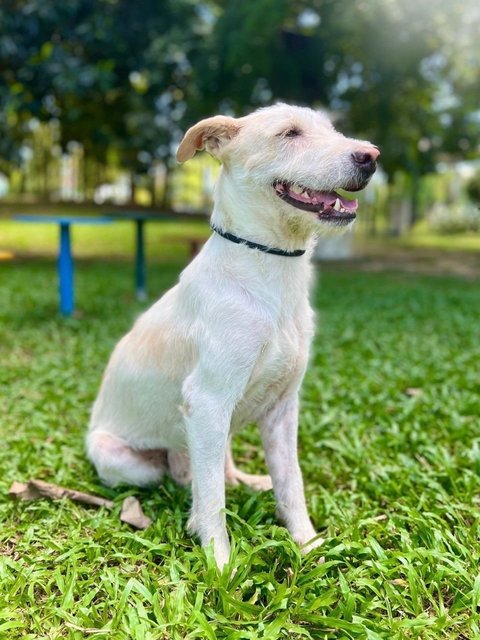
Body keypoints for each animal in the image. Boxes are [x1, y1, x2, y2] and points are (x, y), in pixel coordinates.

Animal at [87, 102, 378, 568]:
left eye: (333, 130)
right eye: (290, 133)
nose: (371, 157)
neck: (271, 267)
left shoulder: (282, 407)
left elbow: (291, 482)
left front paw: (307, 544)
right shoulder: (207, 399)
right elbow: (212, 500)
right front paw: (219, 563)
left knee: (214, 469)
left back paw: (247, 481)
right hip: (132, 458)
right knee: (185, 477)